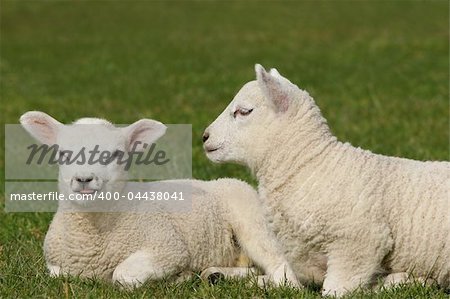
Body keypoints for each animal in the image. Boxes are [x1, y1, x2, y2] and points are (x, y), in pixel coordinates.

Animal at [19, 111, 298, 290]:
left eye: (117, 155)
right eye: (63, 154)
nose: (84, 179)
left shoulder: (167, 248)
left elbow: (123, 276)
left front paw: (178, 278)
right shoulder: (56, 265)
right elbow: (58, 275)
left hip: (252, 221)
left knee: (286, 277)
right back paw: (215, 275)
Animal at [204, 65, 450, 298]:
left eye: (244, 111)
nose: (204, 137)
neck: (315, 169)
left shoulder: (359, 244)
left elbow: (333, 291)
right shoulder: (304, 260)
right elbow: (282, 277)